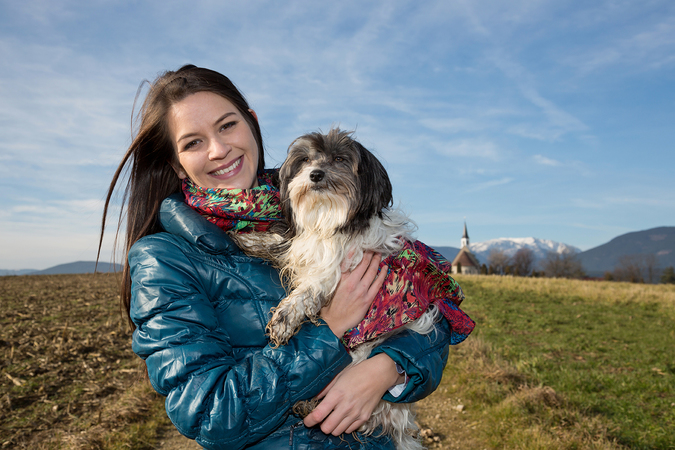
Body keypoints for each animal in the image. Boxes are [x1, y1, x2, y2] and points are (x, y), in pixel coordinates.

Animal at [232, 127, 440, 450]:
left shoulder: (337, 267)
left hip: (364, 354)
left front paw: (284, 318)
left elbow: (307, 291)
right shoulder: (305, 246)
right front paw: (251, 239)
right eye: (305, 160)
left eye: (341, 159)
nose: (316, 174)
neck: (328, 216)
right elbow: (283, 243)